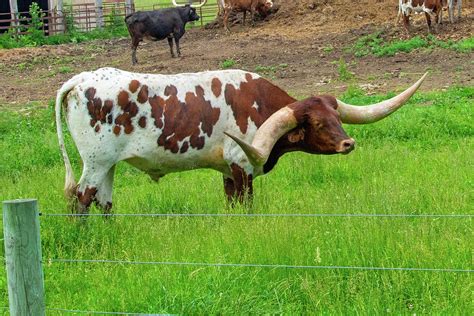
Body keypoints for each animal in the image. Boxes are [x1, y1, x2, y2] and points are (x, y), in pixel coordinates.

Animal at [54, 68, 426, 214]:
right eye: (319, 123)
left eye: (337, 118)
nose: (348, 144)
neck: (259, 103)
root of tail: (80, 79)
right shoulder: (243, 164)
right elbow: (246, 205)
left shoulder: (227, 170)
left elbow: (232, 204)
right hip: (95, 162)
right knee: (81, 198)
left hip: (108, 165)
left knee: (103, 202)